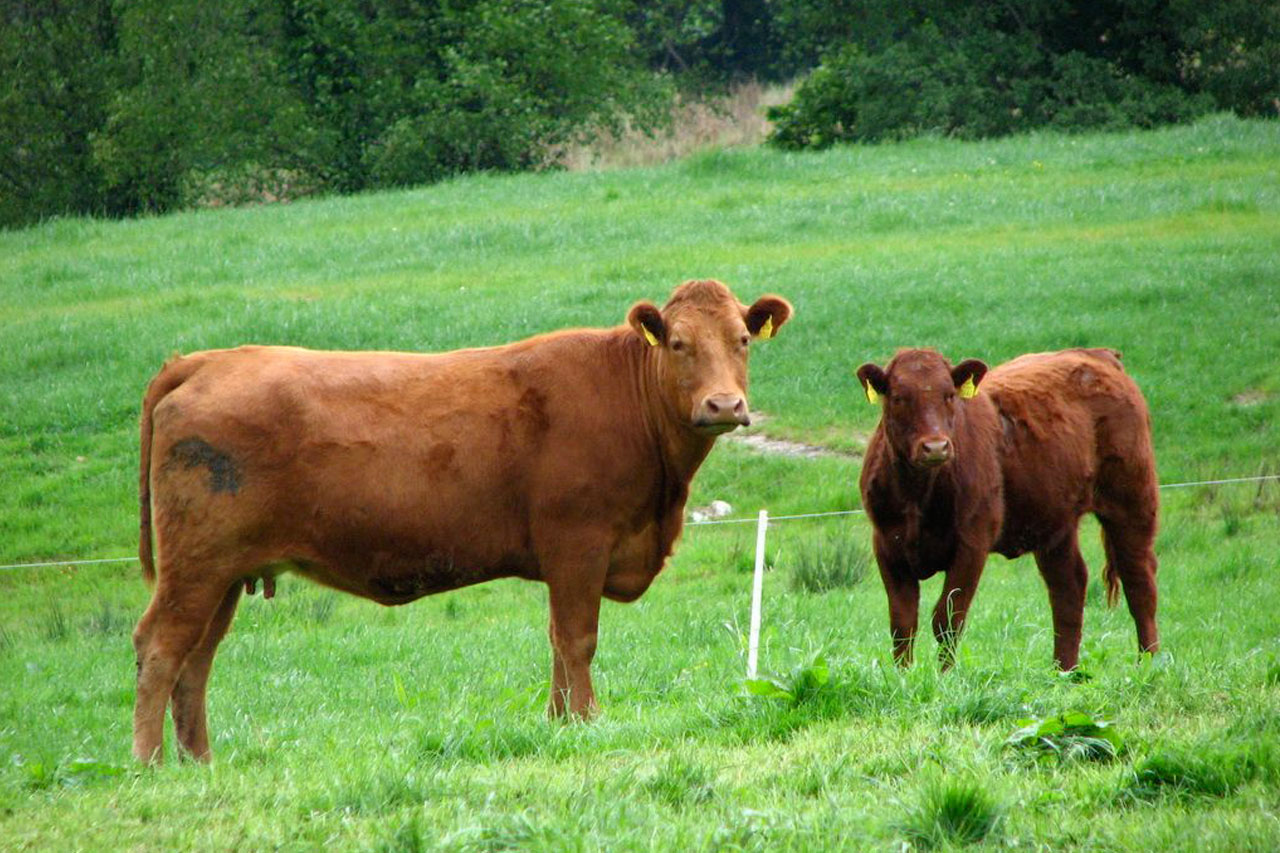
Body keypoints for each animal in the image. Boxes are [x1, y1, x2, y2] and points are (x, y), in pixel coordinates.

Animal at [860, 348, 1162, 666]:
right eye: (898, 397)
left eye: (949, 395)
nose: (935, 447)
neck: (919, 494)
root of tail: (1098, 355)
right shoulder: (887, 546)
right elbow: (903, 625)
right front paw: (903, 675)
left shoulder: (972, 544)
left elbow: (948, 620)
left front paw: (945, 676)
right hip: (1055, 523)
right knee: (1069, 588)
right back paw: (1063, 670)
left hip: (1133, 503)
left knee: (1139, 584)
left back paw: (1148, 663)